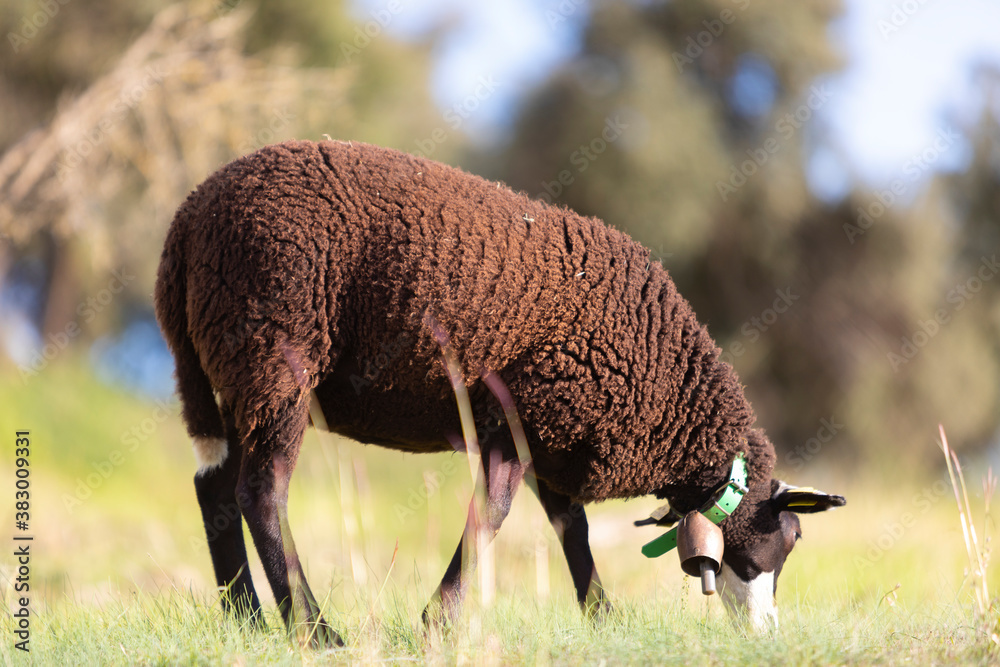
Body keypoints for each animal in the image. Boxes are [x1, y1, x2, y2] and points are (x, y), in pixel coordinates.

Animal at [154, 139, 845, 644]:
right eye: (788, 542)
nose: (767, 636)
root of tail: (186, 225)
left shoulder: (552, 433)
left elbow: (571, 529)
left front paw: (602, 619)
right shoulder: (522, 416)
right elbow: (494, 513)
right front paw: (438, 622)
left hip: (218, 372)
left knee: (215, 489)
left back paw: (244, 619)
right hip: (276, 355)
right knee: (261, 493)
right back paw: (316, 631)